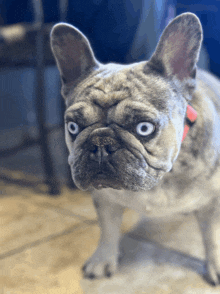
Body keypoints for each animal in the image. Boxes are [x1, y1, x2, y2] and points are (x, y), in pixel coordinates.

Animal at [50, 12, 220, 286]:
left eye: (144, 128)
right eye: (73, 127)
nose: (100, 144)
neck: (162, 178)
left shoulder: (213, 204)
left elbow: (212, 238)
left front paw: (215, 265)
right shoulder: (105, 200)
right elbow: (107, 230)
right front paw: (103, 258)